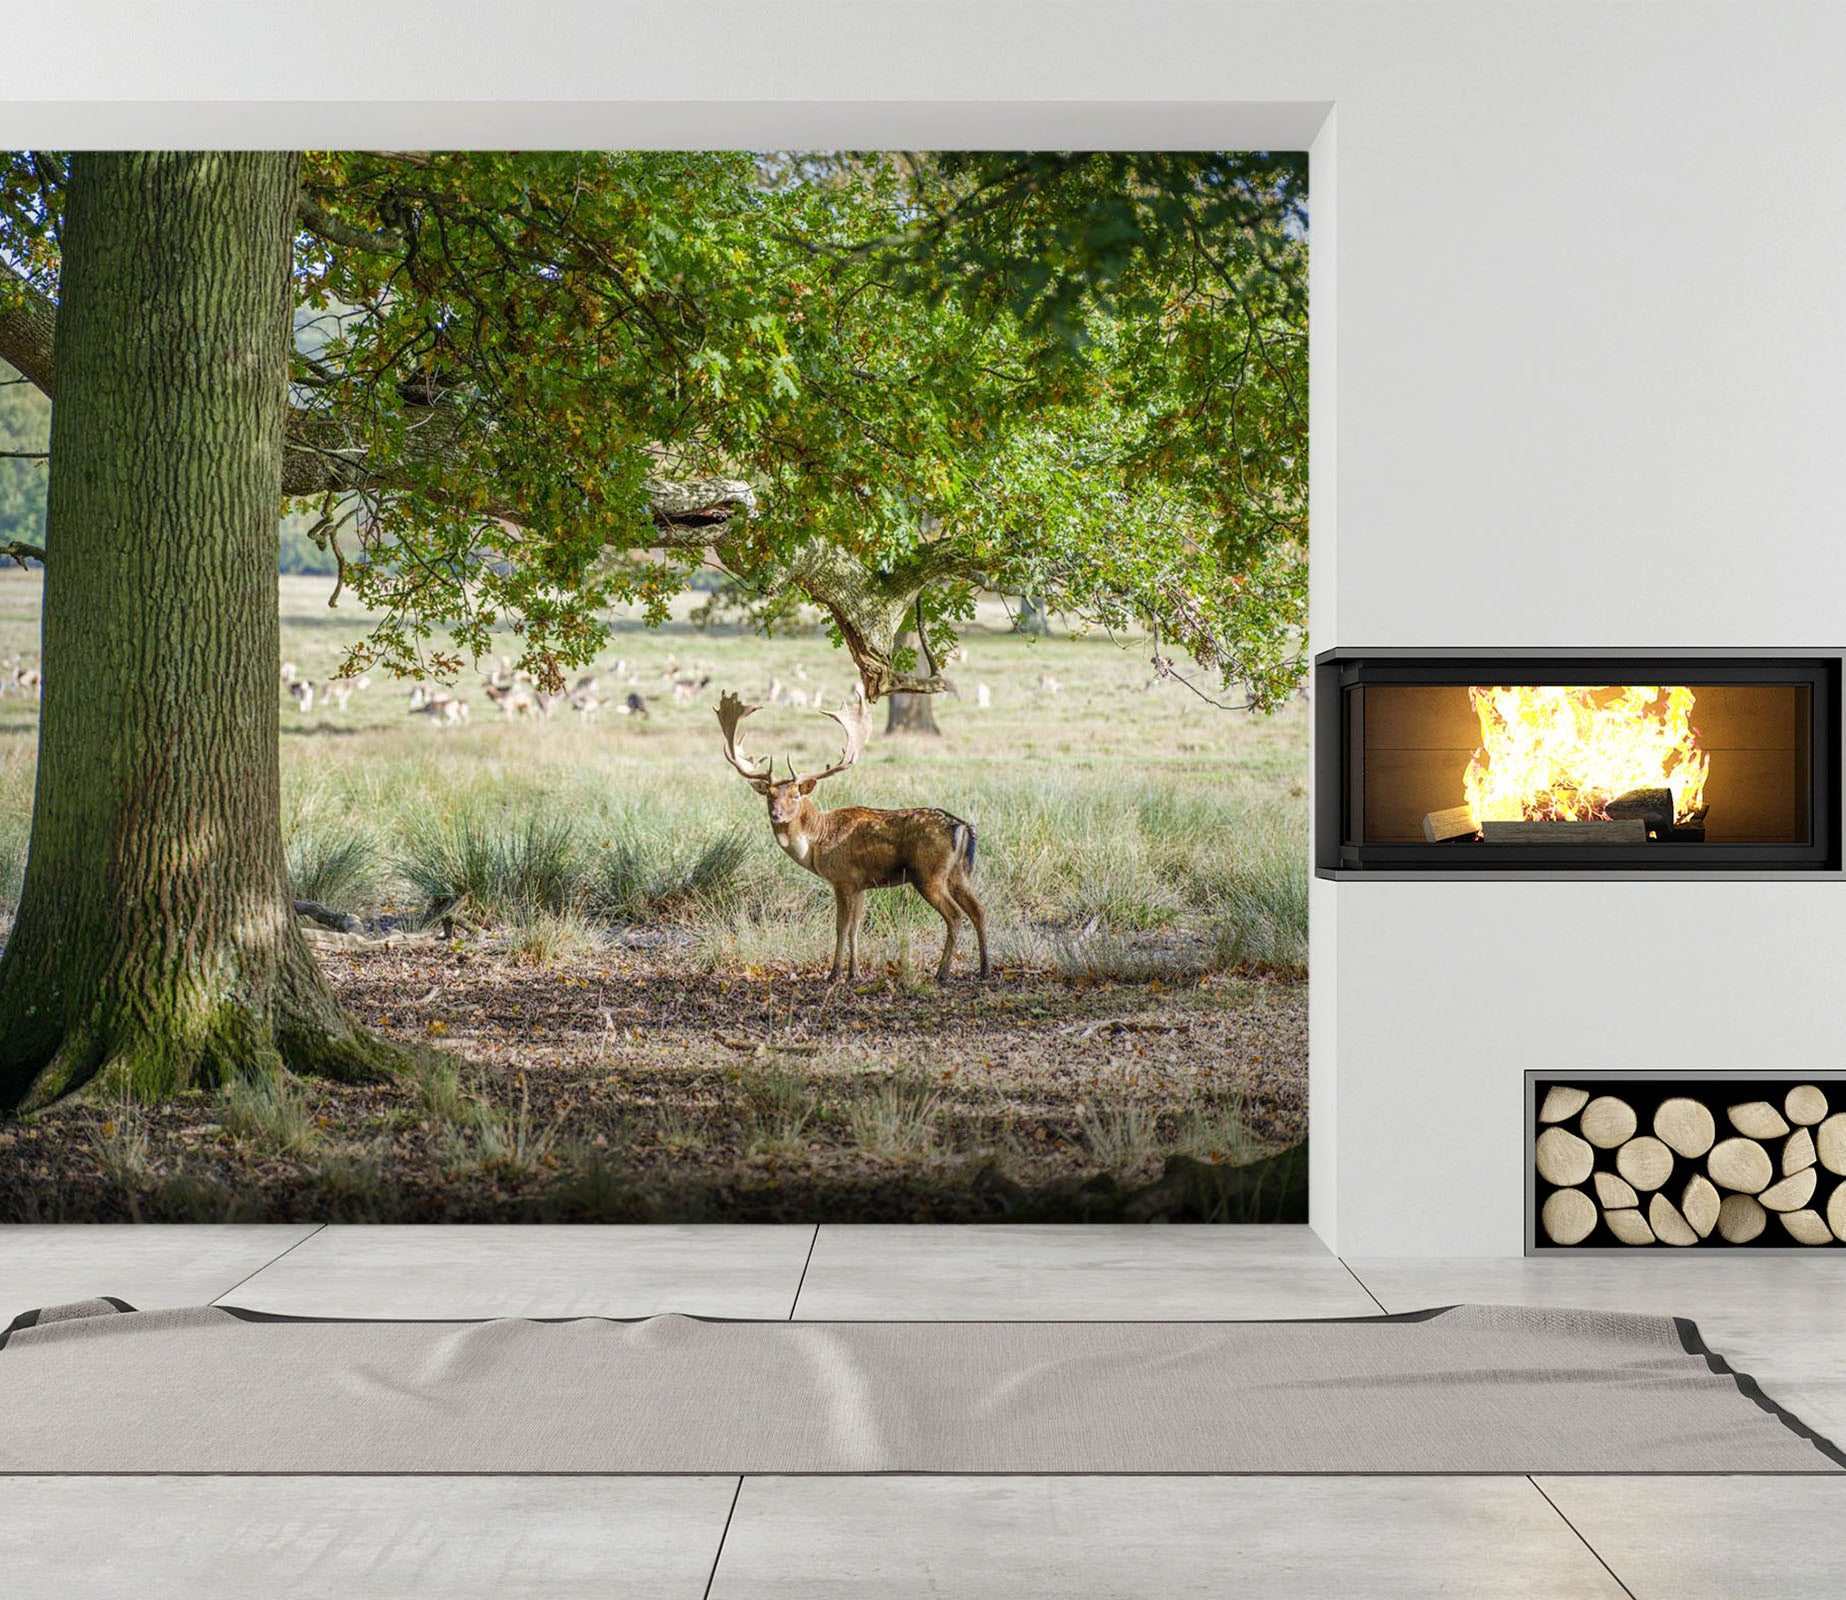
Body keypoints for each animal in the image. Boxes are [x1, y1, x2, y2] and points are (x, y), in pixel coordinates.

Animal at [716, 690, 989, 983]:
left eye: (796, 795)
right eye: (769, 795)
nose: (776, 814)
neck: (817, 841)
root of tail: (962, 828)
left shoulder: (843, 879)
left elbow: (841, 927)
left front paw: (835, 973)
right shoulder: (860, 885)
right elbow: (855, 928)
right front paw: (853, 971)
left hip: (929, 874)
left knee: (955, 915)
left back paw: (942, 972)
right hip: (959, 873)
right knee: (979, 910)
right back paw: (984, 969)